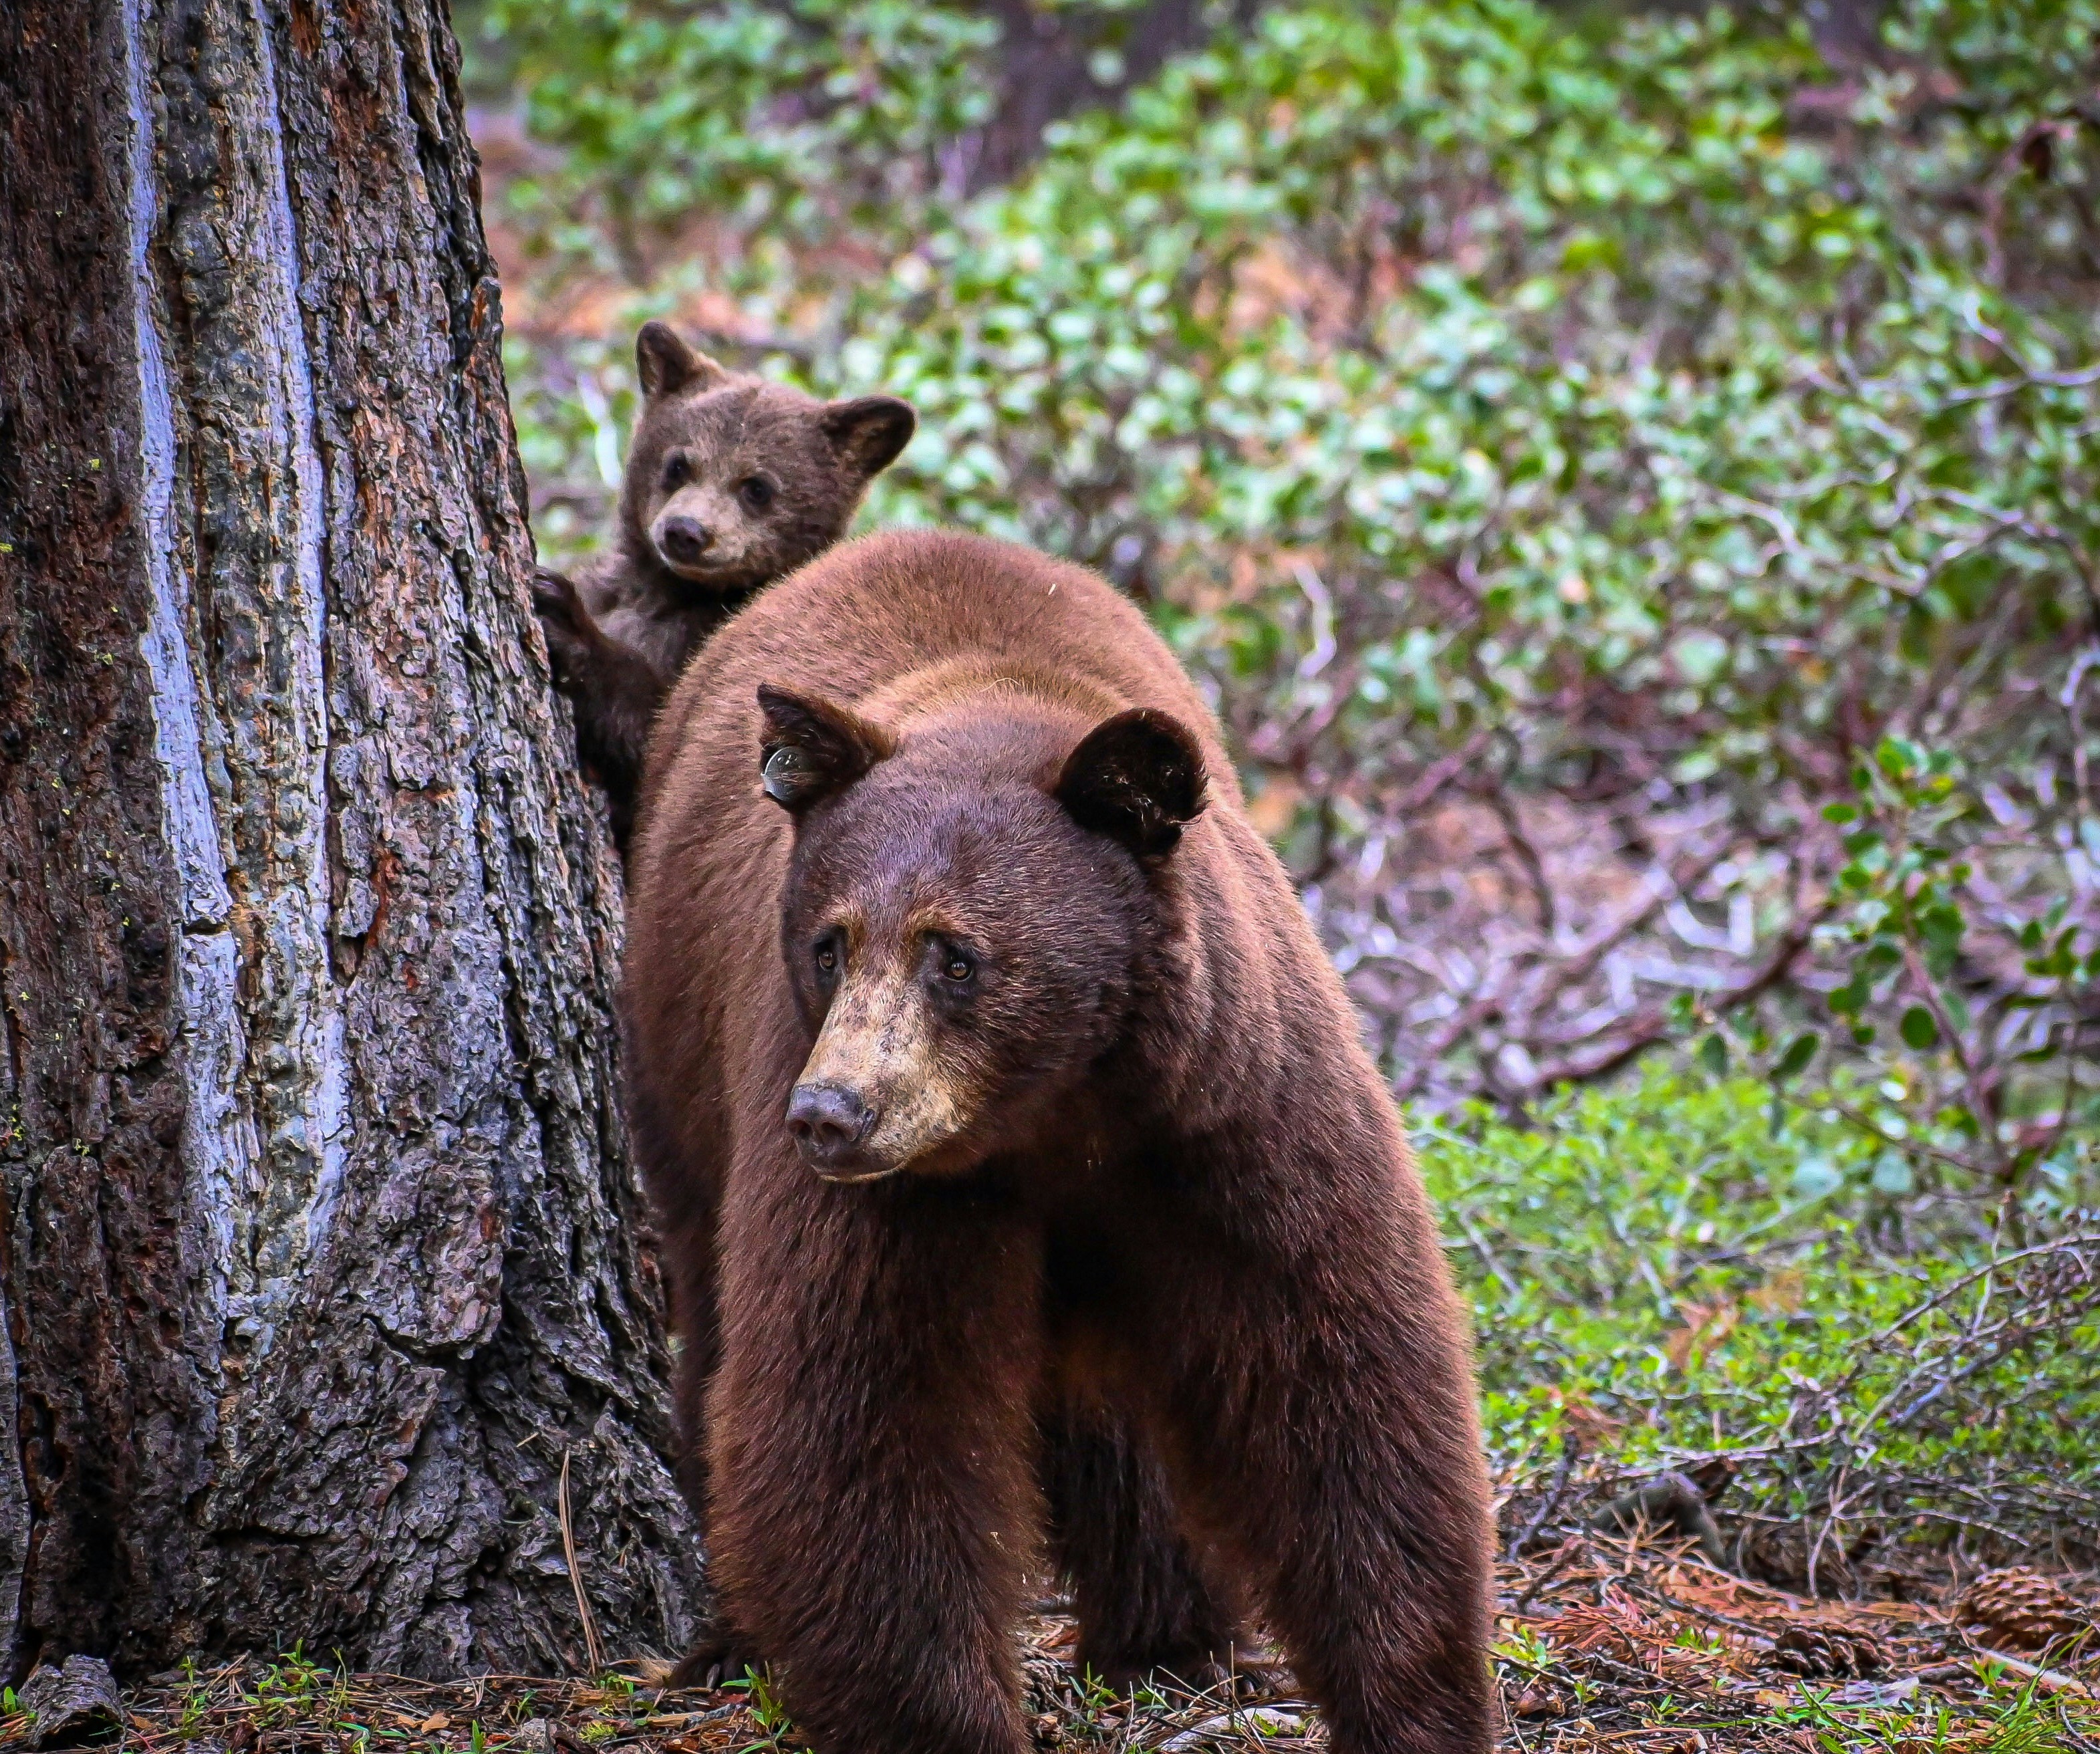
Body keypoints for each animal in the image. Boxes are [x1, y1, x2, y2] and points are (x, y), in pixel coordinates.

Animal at [532, 320, 914, 848]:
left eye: (757, 487)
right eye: (678, 464)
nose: (686, 532)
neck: (674, 593)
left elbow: (654, 739)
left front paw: (565, 617)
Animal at [620, 528, 1493, 1754]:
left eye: (954, 953)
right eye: (830, 943)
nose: (830, 1112)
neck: (1057, 1111)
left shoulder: (1233, 1113)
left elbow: (1337, 1374)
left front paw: (1415, 1702)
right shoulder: (894, 1187)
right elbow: (864, 1418)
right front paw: (945, 1718)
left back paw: (1165, 1635)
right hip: (679, 1066)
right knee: (714, 1325)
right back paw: (728, 1637)